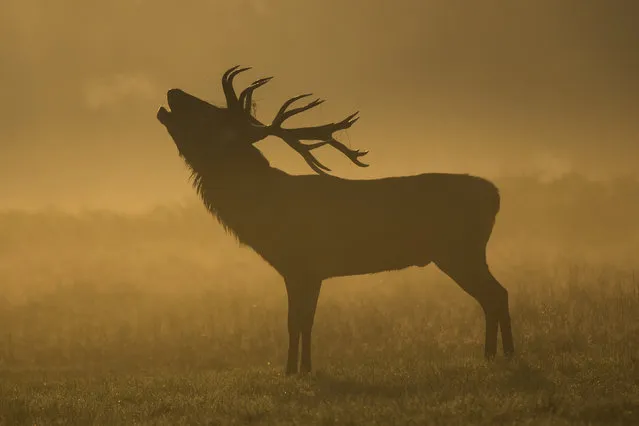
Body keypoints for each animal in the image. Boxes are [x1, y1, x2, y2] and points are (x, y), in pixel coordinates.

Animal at [156, 65, 516, 374]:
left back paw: (505, 355)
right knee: (493, 295)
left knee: (496, 294)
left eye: (210, 115)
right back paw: (492, 355)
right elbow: (304, 321)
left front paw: (292, 371)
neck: (263, 211)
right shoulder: (307, 271)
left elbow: (296, 321)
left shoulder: (301, 265)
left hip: (459, 250)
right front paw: (303, 368)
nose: (173, 92)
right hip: (463, 252)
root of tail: (495, 195)